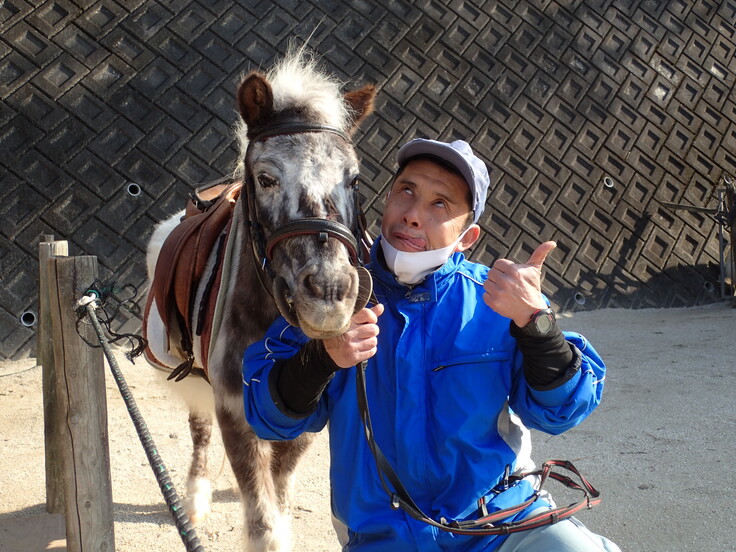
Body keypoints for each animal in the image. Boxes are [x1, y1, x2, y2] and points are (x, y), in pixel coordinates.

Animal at [142, 50, 376, 551]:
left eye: (353, 180)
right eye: (266, 178)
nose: (330, 295)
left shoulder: (304, 416)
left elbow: (280, 490)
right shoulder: (232, 406)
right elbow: (264, 521)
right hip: (194, 380)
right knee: (200, 431)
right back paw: (195, 498)